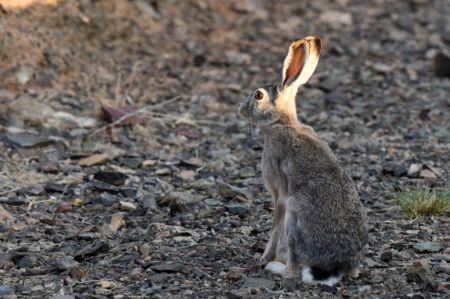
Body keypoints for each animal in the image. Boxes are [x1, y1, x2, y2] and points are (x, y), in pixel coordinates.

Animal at [237, 36, 368, 288]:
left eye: (258, 95)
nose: (239, 109)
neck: (282, 122)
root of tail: (334, 265)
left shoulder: (279, 194)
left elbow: (274, 226)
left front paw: (264, 258)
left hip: (294, 216)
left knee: (293, 269)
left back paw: (275, 267)